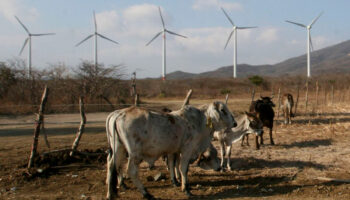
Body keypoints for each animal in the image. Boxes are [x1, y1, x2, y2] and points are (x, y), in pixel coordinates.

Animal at [106, 102, 238, 199]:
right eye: (223, 110)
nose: (235, 123)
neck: (200, 121)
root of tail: (119, 114)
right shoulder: (187, 149)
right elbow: (182, 168)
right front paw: (186, 189)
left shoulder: (174, 151)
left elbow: (173, 165)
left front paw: (177, 182)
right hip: (134, 154)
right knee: (131, 171)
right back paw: (146, 193)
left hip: (119, 148)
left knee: (112, 165)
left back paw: (111, 193)